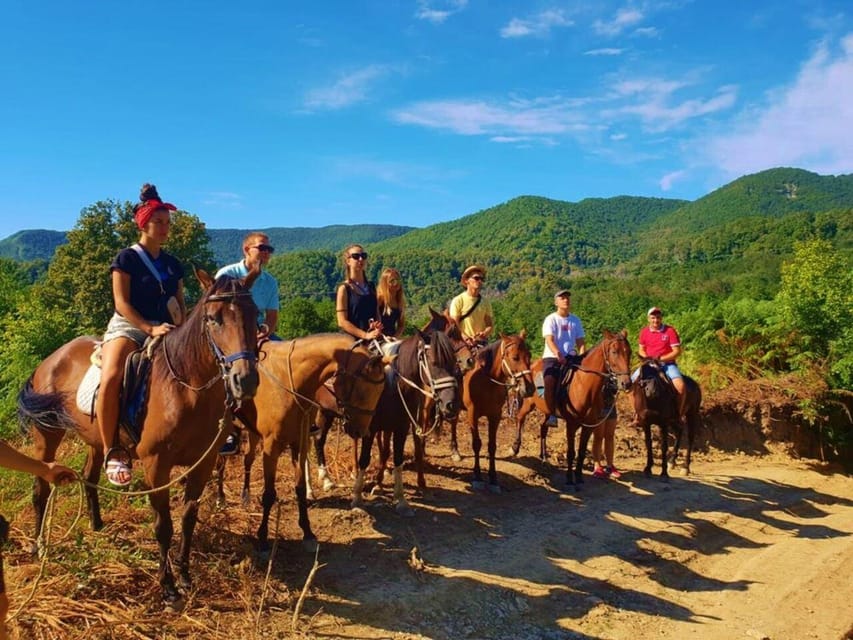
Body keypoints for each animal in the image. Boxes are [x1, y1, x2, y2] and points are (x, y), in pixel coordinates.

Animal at [14, 268, 260, 604]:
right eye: (213, 318)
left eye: (254, 314)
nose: (244, 380)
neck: (185, 387)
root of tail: (50, 360)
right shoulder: (157, 465)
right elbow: (163, 525)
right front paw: (168, 587)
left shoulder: (205, 462)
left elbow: (188, 519)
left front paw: (185, 575)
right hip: (47, 436)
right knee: (41, 489)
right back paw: (39, 546)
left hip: (96, 440)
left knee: (89, 475)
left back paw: (97, 525)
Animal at [250, 336, 390, 552]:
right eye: (363, 390)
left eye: (380, 392)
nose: (360, 432)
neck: (289, 382)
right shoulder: (271, 447)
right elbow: (269, 493)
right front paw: (263, 537)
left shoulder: (298, 441)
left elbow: (298, 488)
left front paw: (307, 532)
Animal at [452, 332, 532, 492]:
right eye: (515, 357)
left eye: (529, 355)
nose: (529, 388)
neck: (487, 380)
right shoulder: (472, 415)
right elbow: (477, 444)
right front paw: (477, 477)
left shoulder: (495, 415)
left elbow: (492, 446)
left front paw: (493, 478)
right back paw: (455, 451)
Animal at [512, 332, 632, 488]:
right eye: (614, 352)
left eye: (629, 352)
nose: (626, 383)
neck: (584, 385)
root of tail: (530, 367)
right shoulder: (571, 424)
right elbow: (570, 452)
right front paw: (569, 479)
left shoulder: (589, 425)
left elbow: (581, 452)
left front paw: (579, 477)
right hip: (528, 404)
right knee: (520, 418)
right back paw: (515, 447)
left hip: (547, 412)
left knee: (543, 427)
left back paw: (544, 457)